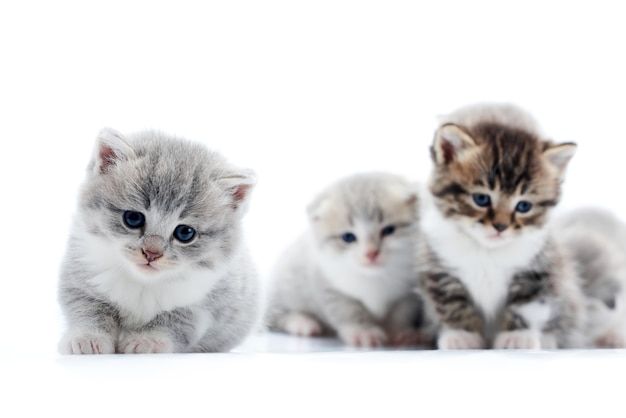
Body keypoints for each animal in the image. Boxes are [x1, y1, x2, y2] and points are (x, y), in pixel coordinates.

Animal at [58, 127, 258, 352]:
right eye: (133, 218)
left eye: (185, 233)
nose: (151, 253)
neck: (143, 283)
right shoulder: (79, 277)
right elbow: (88, 310)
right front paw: (87, 338)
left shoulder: (202, 305)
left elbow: (172, 321)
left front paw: (147, 340)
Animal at [266, 171, 432, 348]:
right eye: (348, 237)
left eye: (388, 230)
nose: (371, 253)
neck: (374, 278)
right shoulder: (327, 286)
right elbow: (348, 311)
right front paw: (363, 332)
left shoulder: (408, 292)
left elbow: (401, 313)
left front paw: (401, 332)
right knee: (276, 314)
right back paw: (302, 322)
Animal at [414, 103, 584, 350]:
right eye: (481, 199)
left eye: (523, 206)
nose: (501, 226)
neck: (487, 252)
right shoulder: (438, 264)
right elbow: (451, 301)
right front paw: (461, 336)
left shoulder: (540, 266)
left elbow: (528, 304)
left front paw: (518, 337)